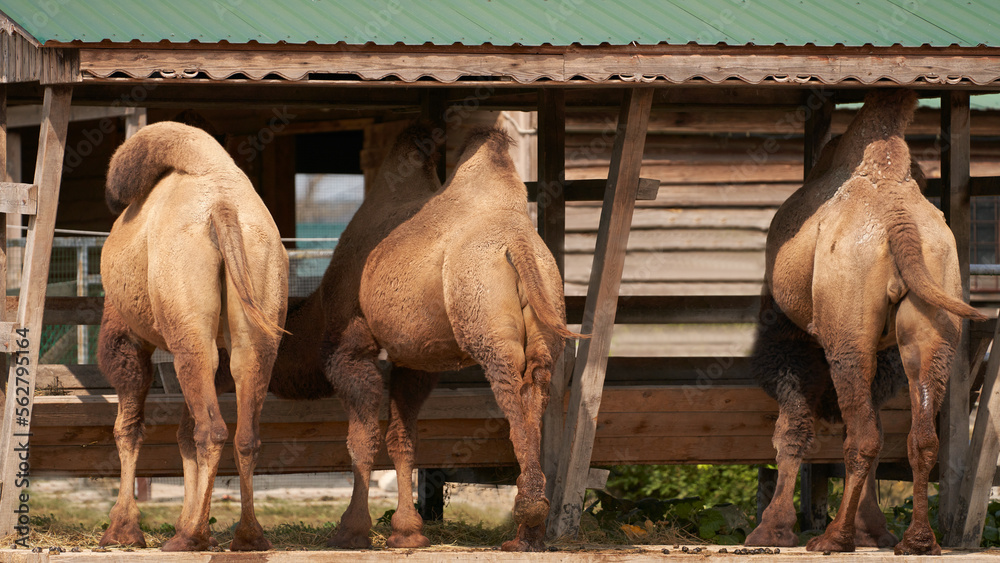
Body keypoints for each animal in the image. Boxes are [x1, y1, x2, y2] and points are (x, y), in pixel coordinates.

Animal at [98, 121, 289, 551]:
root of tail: (223, 209)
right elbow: (182, 432)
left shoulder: (125, 332)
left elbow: (128, 428)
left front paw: (122, 529)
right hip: (258, 314)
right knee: (244, 432)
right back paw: (248, 535)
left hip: (189, 330)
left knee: (210, 430)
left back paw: (191, 537)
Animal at [271, 124, 574, 552]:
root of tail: (519, 245)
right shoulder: (416, 360)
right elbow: (402, 437)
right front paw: (407, 532)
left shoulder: (350, 346)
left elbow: (361, 439)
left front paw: (351, 531)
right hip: (549, 306)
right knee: (537, 384)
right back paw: (526, 535)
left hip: (484, 317)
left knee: (510, 387)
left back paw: (528, 515)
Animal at [743, 89, 987, 555]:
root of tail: (899, 221)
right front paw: (872, 530)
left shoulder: (789, 334)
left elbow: (792, 427)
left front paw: (771, 530)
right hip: (935, 304)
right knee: (918, 435)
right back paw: (917, 541)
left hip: (848, 327)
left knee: (862, 435)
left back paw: (832, 538)